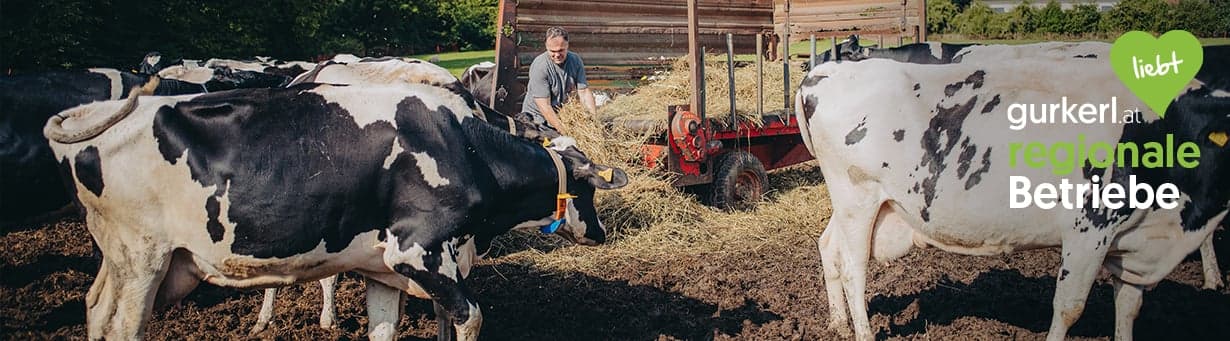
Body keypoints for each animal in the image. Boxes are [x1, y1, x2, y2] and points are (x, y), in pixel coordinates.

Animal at [45, 80, 624, 339]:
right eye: (591, 192)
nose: (599, 233)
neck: (465, 147)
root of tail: (97, 112)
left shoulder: (384, 270)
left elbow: (384, 330)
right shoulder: (415, 254)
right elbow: (471, 317)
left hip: (127, 260)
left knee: (95, 308)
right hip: (143, 256)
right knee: (121, 325)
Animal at [797, 43, 1230, 337]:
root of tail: (828, 71)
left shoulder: (1132, 243)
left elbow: (1128, 307)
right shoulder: (1089, 227)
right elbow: (1069, 307)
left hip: (860, 205)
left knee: (828, 247)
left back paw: (837, 322)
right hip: (858, 198)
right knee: (853, 267)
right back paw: (862, 331)